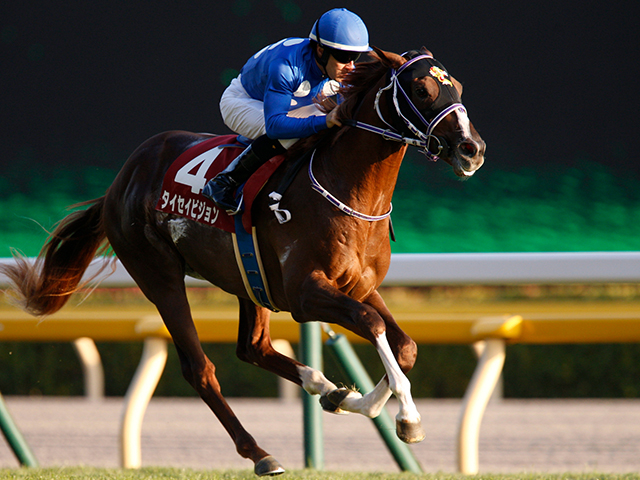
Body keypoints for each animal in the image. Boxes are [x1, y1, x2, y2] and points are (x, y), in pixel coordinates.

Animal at [1, 46, 484, 476]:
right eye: (421, 89)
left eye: (457, 87)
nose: (472, 149)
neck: (345, 188)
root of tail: (120, 181)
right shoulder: (305, 294)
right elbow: (373, 324)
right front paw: (407, 417)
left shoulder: (359, 286)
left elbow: (404, 345)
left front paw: (354, 399)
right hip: (159, 276)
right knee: (200, 369)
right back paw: (261, 454)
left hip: (248, 280)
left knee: (253, 347)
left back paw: (325, 388)